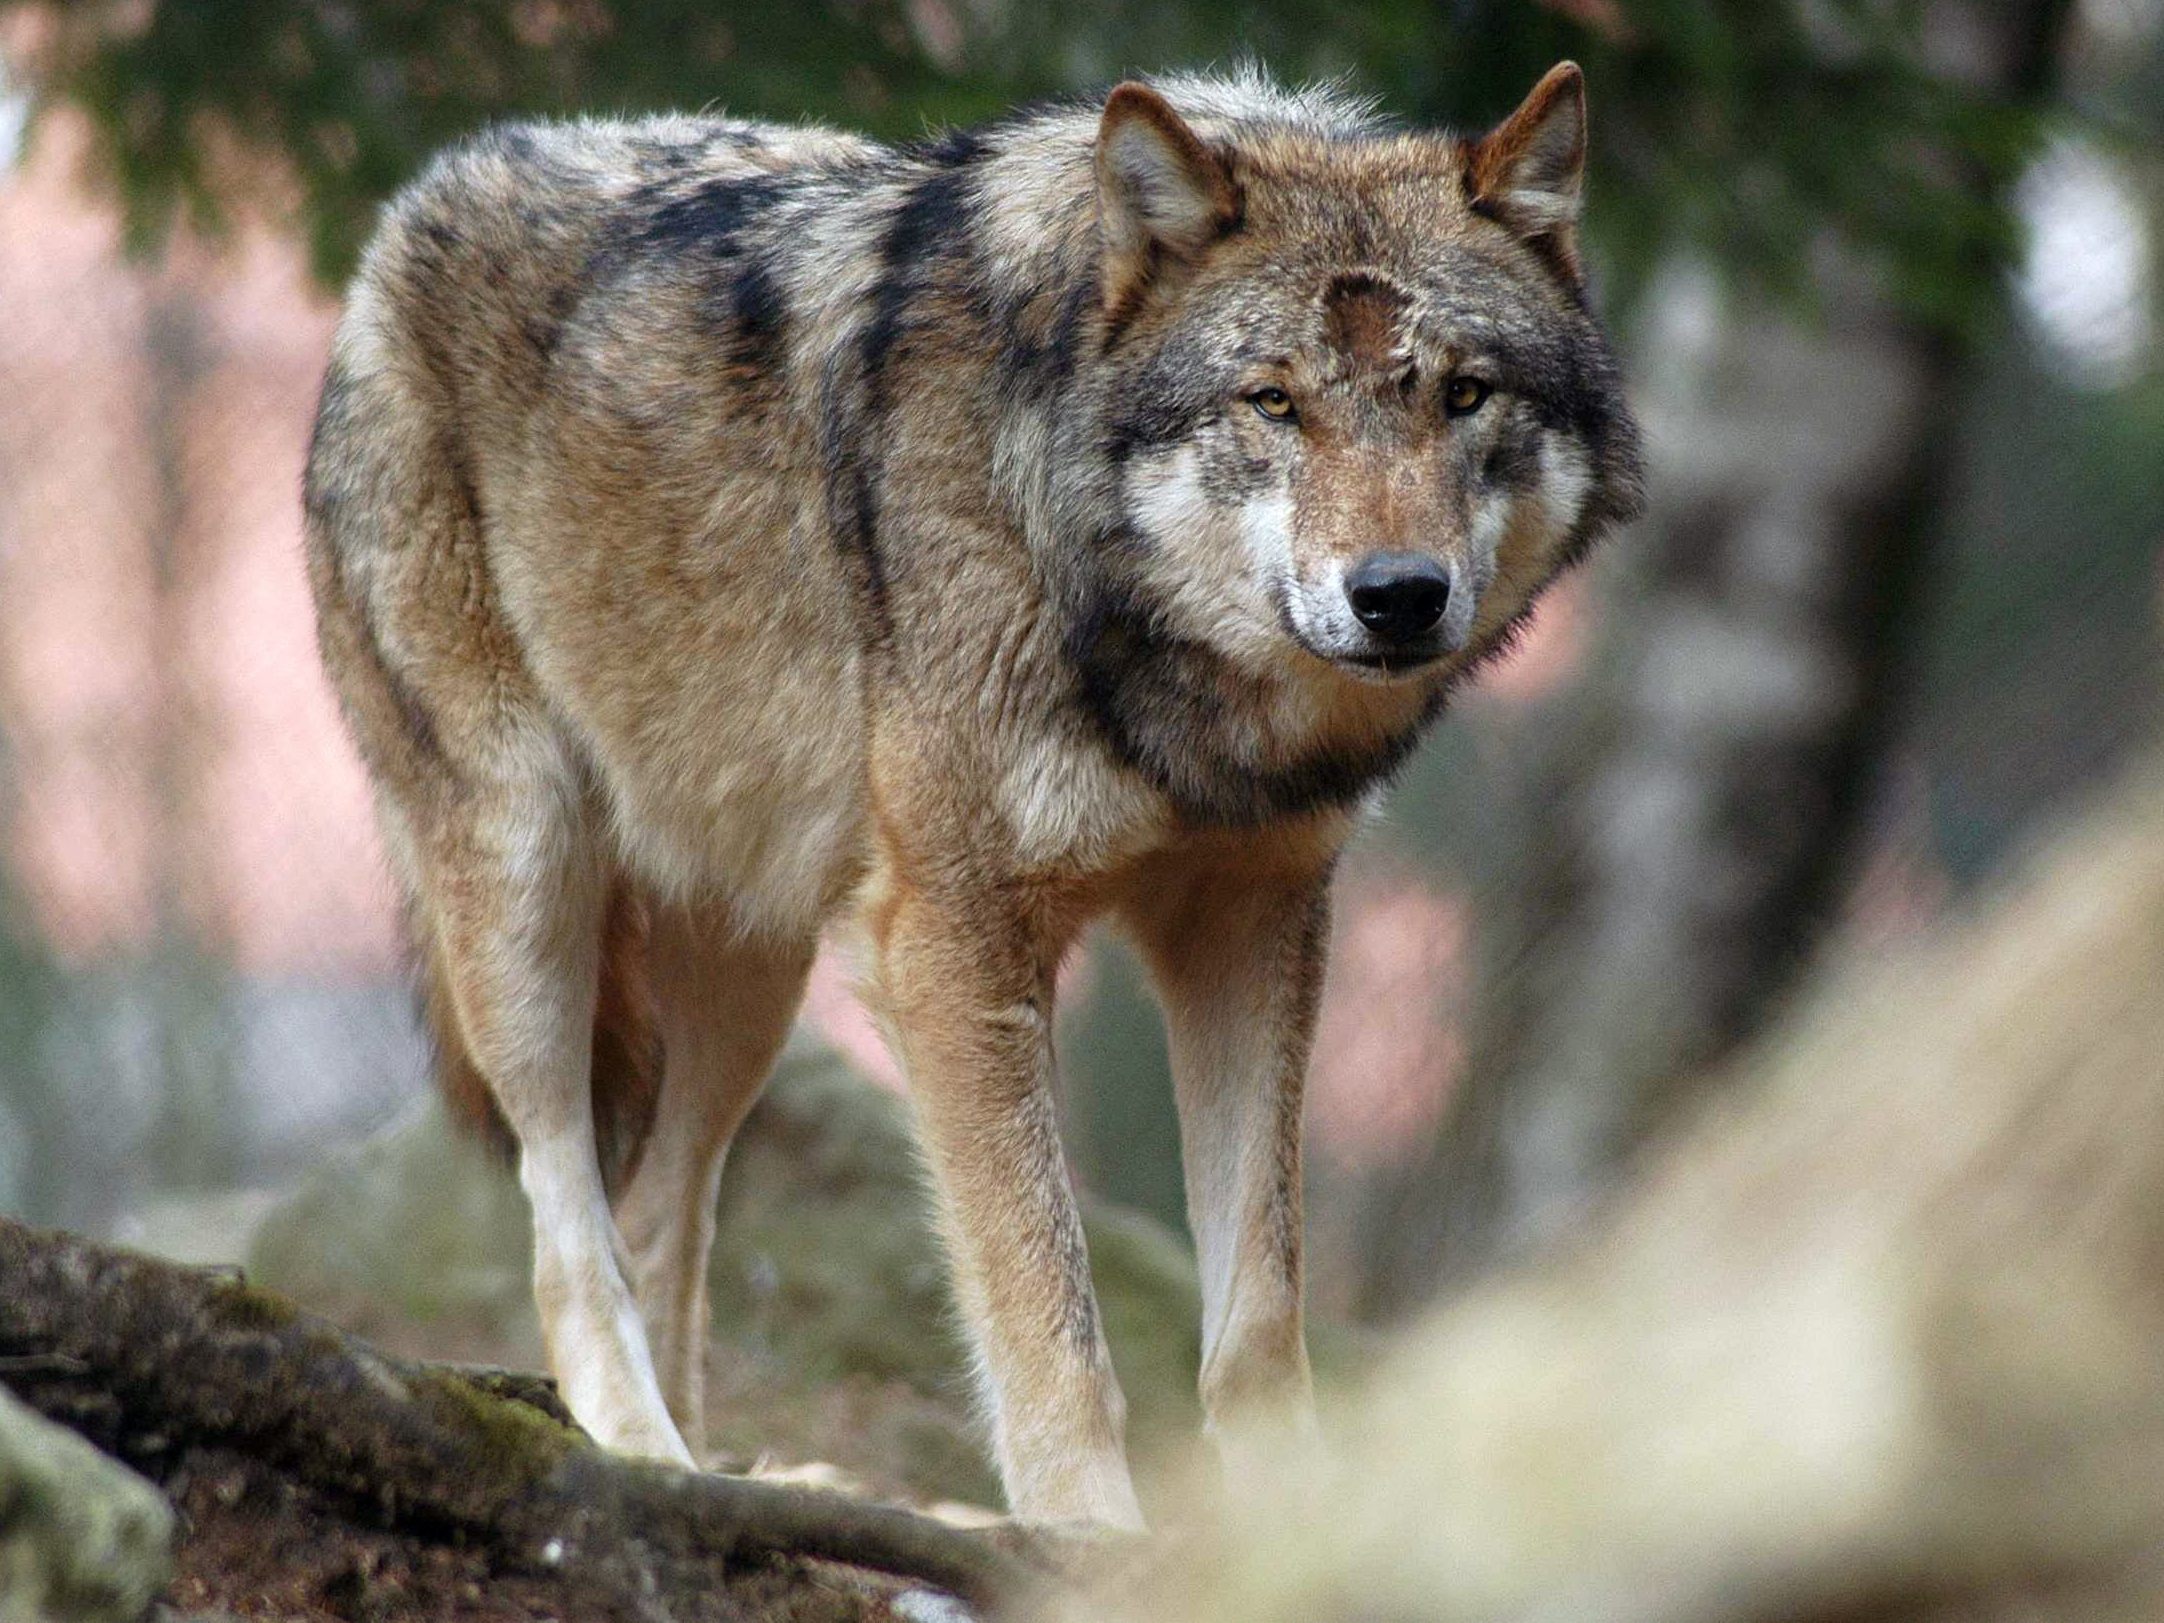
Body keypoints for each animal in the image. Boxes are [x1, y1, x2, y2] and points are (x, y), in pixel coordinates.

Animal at [305, 63, 1635, 1532]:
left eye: (1462, 394)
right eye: (1273, 401)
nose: (1399, 594)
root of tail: (424, 196)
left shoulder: (1251, 919)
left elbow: (1259, 1313)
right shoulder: (951, 940)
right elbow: (1049, 1316)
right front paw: (1092, 1539)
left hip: (755, 978)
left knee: (656, 1217)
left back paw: (722, 1476)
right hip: (530, 883)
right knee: (564, 1228)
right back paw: (641, 1461)